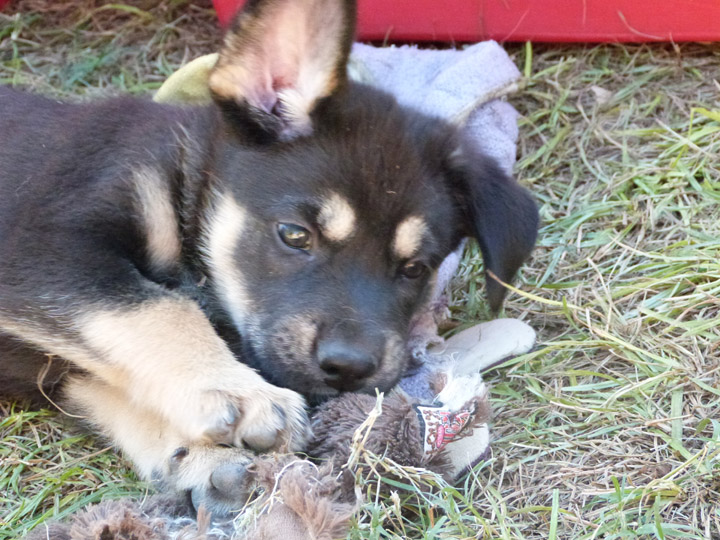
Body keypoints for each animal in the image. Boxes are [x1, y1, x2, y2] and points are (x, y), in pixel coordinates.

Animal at [0, 0, 536, 516]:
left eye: (415, 268)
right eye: (294, 234)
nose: (350, 369)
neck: (187, 177)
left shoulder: (62, 360)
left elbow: (112, 386)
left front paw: (204, 457)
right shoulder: (43, 249)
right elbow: (160, 306)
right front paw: (240, 393)